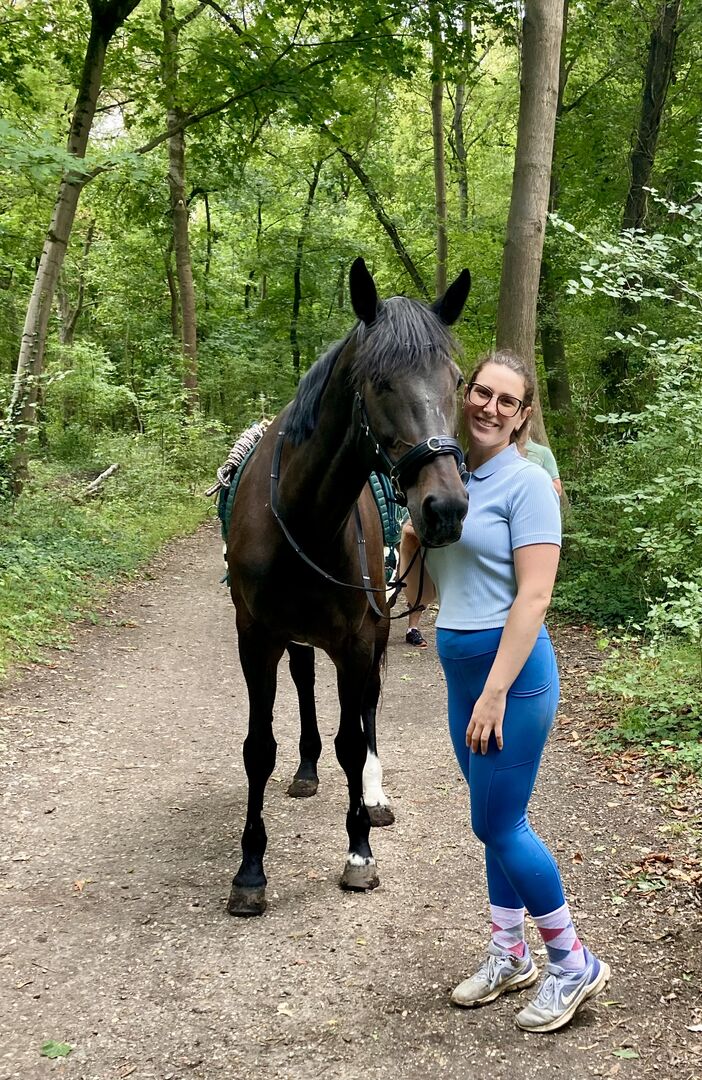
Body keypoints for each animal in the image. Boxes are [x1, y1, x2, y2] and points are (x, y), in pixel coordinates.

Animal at [226, 258, 471, 916]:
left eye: (457, 381)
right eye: (380, 382)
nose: (445, 507)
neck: (303, 515)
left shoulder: (359, 640)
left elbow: (354, 740)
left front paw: (359, 849)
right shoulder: (255, 637)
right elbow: (258, 748)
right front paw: (250, 870)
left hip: (377, 630)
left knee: (367, 708)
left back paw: (374, 795)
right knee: (307, 685)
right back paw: (308, 769)